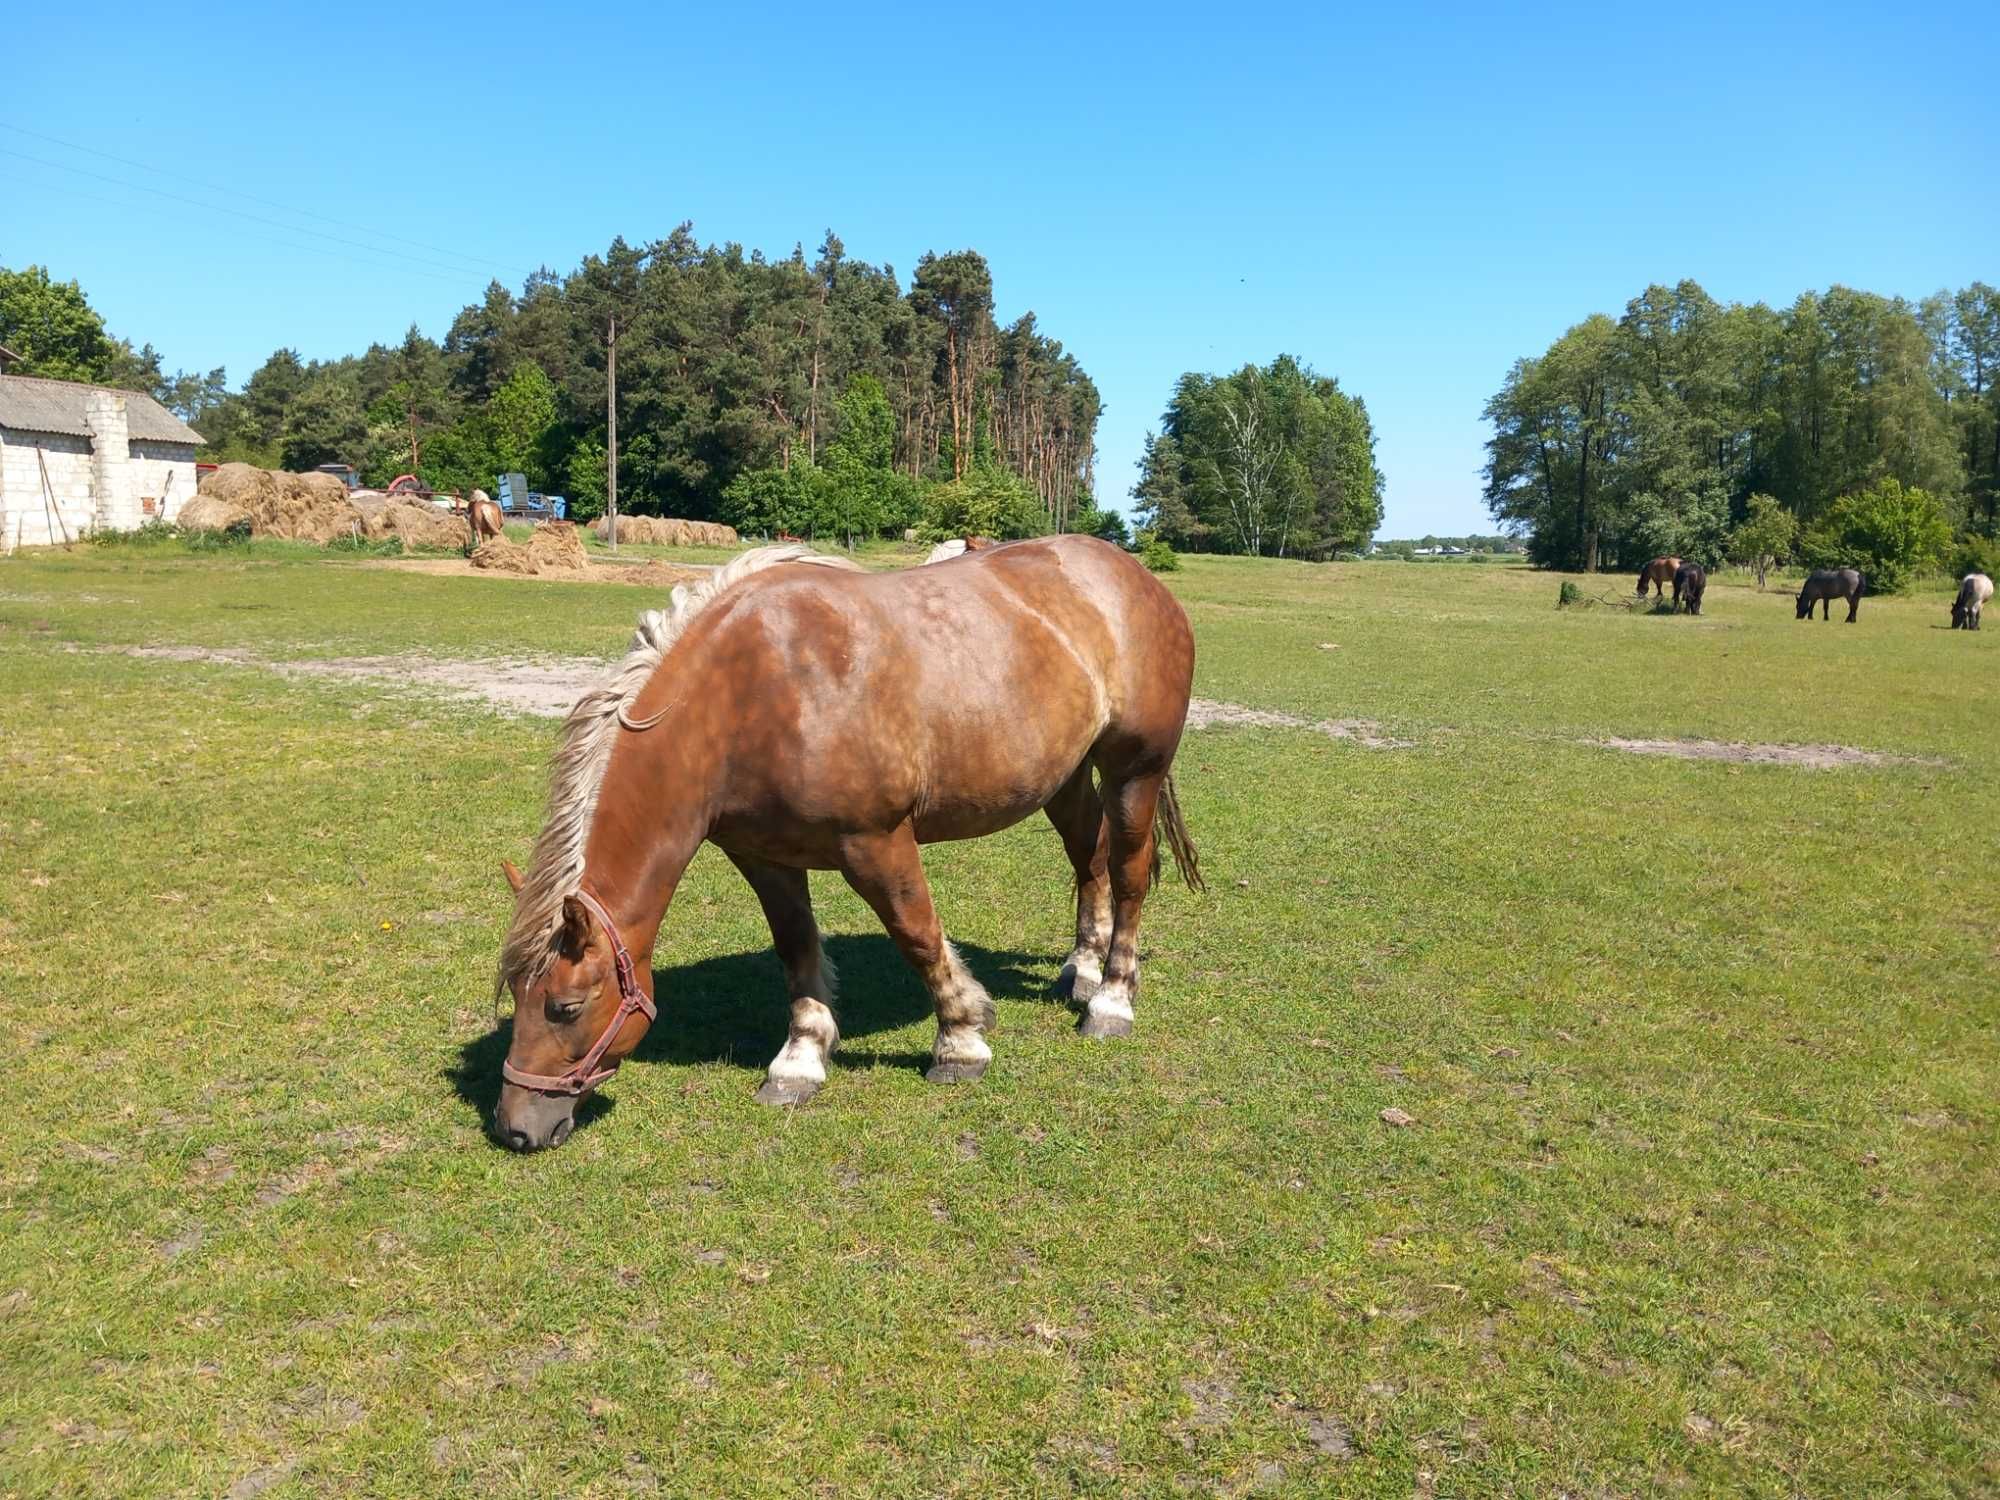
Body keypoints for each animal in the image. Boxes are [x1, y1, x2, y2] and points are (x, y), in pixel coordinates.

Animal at [494, 536, 1200, 1152]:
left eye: (565, 1006)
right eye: (517, 1000)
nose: (515, 1129)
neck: (753, 695)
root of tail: (1135, 577)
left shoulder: (877, 843)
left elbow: (918, 934)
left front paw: (961, 1039)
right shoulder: (764, 856)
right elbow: (797, 948)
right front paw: (800, 1060)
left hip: (1135, 771)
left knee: (1128, 872)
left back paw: (1111, 999)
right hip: (1067, 776)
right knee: (1089, 860)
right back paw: (1082, 968)